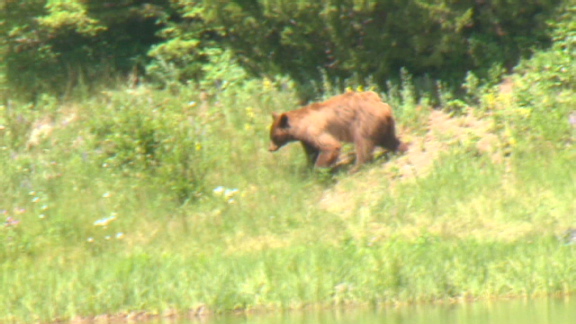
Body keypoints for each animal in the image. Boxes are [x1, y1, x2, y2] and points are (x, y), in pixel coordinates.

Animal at [268, 90, 408, 168]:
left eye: (274, 137)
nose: (270, 148)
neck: (299, 125)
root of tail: (381, 104)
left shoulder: (314, 130)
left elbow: (330, 146)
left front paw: (319, 169)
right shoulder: (306, 138)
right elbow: (311, 151)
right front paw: (309, 167)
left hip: (364, 122)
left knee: (363, 143)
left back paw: (357, 167)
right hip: (382, 124)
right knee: (388, 139)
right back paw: (402, 147)